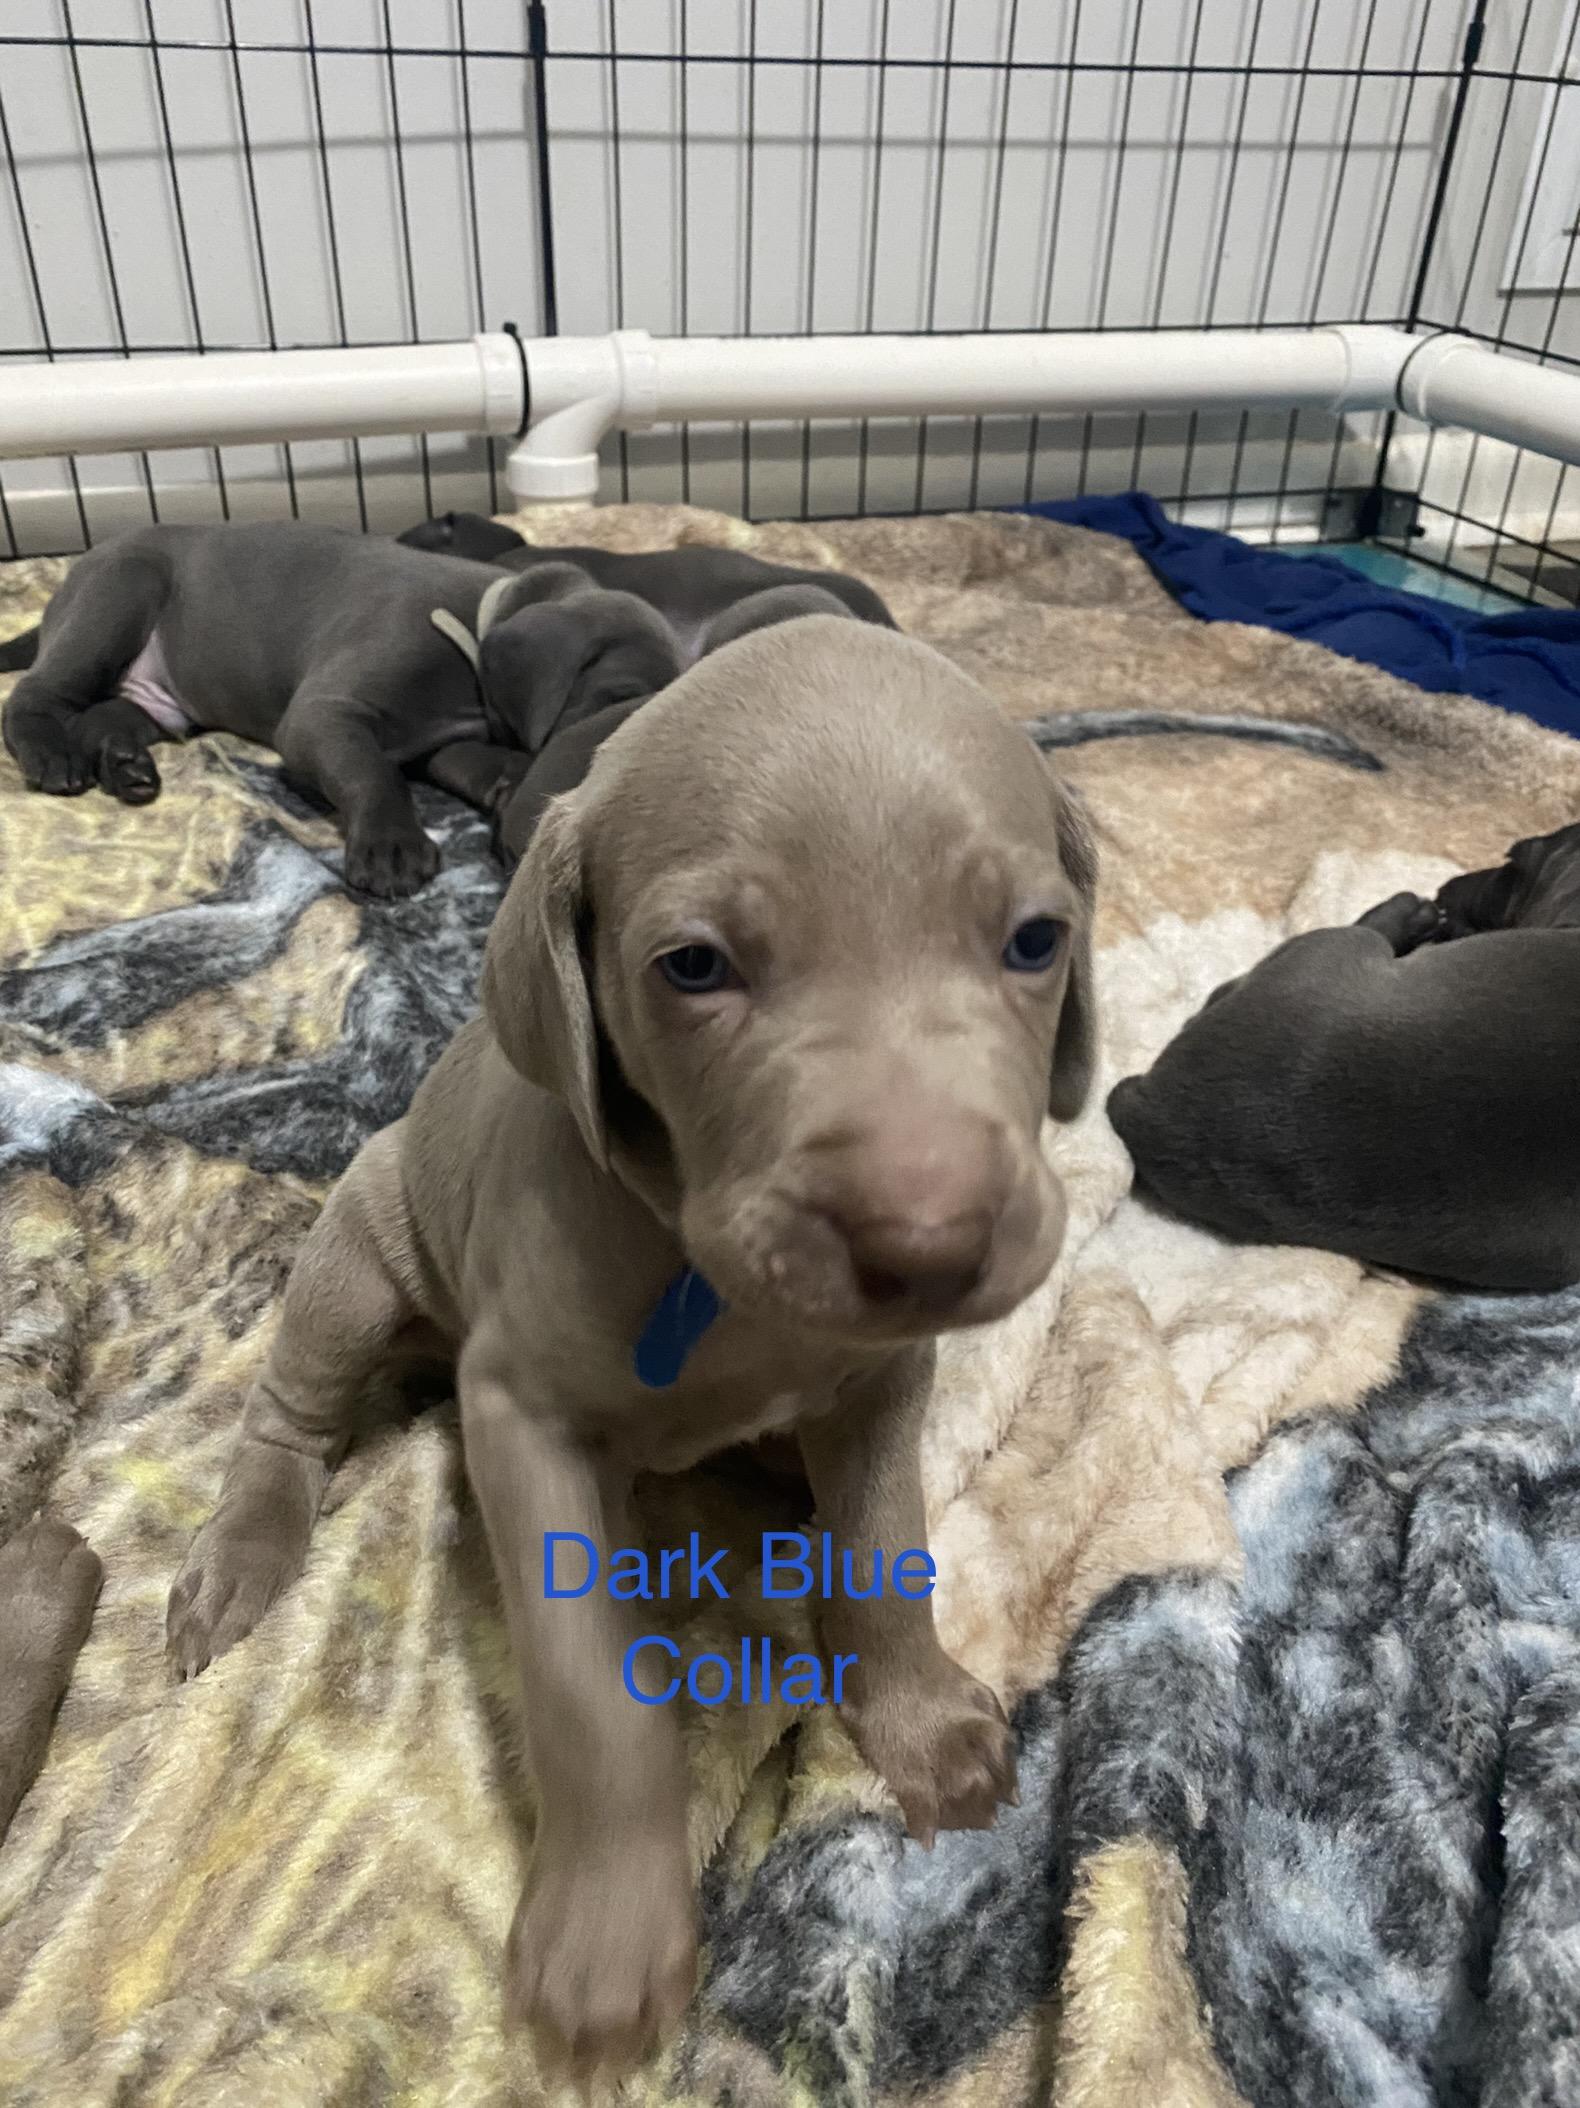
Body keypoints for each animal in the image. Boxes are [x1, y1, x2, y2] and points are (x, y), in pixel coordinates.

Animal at [164, 615, 1098, 2079]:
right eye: (694, 967)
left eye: (1035, 938)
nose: (929, 1241)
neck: (711, 1282)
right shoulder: (519, 1419)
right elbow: (591, 1693)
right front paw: (606, 1937)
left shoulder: (884, 1381)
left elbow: (884, 1551)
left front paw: (916, 1717)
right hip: (357, 1261)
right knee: (288, 1417)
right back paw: (238, 1562)